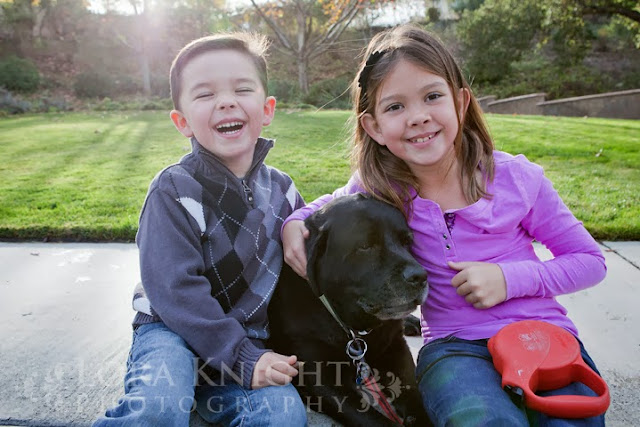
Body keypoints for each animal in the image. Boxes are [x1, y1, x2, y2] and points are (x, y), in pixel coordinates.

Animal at [268, 194, 430, 426]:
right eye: (365, 246)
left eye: (407, 242)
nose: (420, 276)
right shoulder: (317, 375)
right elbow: (373, 420)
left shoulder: (395, 347)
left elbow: (413, 392)